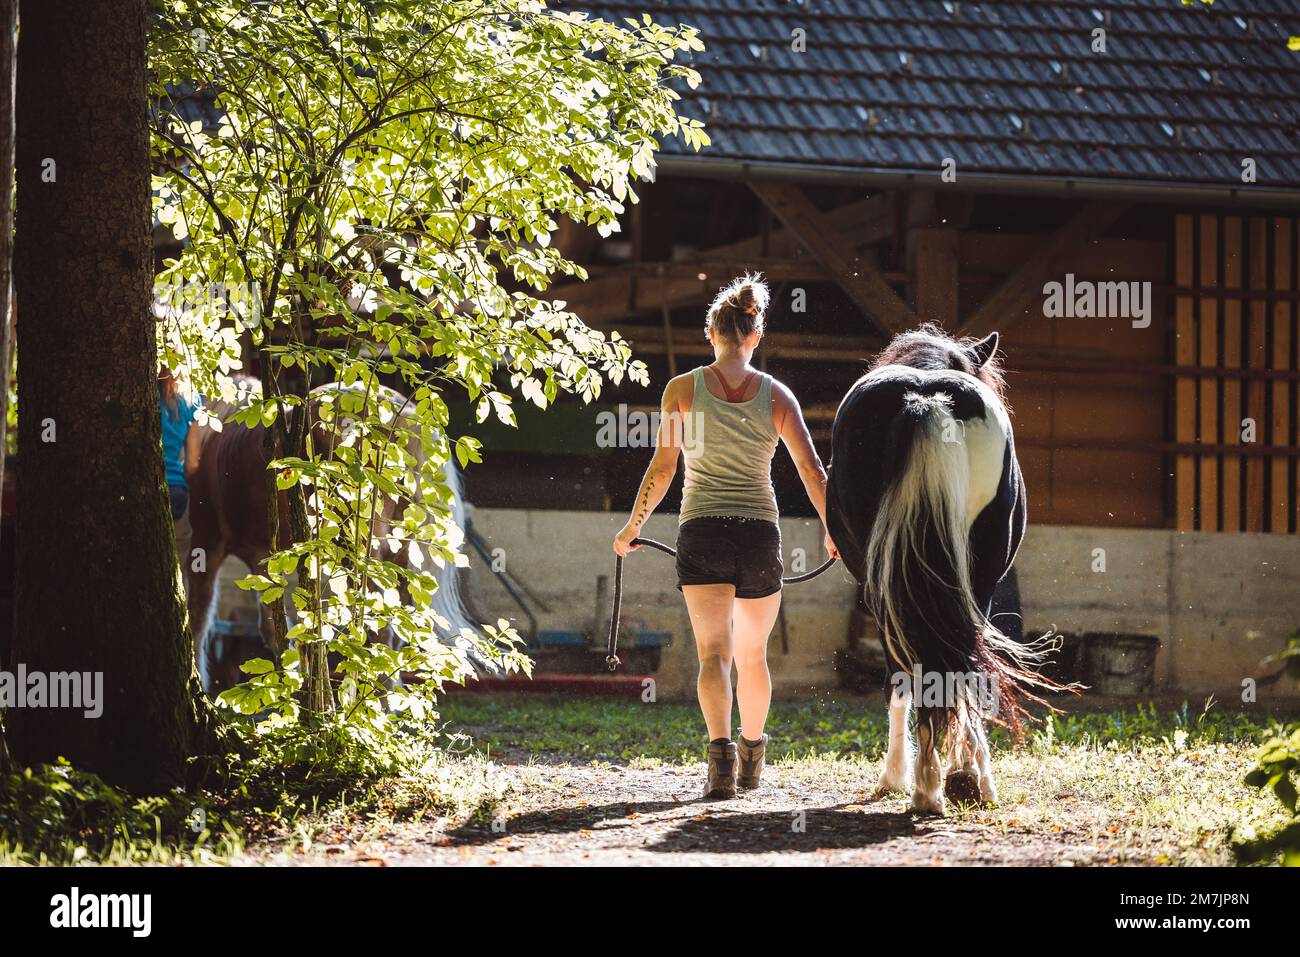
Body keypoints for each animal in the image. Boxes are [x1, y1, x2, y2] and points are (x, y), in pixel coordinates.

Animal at [826, 325, 1050, 811]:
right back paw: (950, 782)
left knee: (917, 668)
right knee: (961, 662)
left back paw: (930, 785)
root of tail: (925, 399)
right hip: (972, 578)